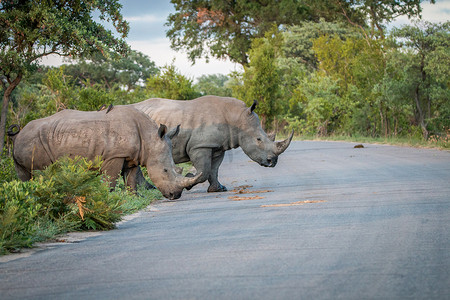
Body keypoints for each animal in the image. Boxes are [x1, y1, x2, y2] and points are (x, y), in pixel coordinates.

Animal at [7, 105, 201, 199]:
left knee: (26, 177)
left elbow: (130, 180)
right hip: (34, 141)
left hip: (31, 142)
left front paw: (134, 197)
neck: (149, 138)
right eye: (166, 171)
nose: (175, 196)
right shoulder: (114, 156)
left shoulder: (131, 157)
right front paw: (108, 198)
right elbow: (111, 179)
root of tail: (18, 134)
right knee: (41, 173)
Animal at [130, 95, 294, 192]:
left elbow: (214, 169)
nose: (272, 162)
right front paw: (189, 179)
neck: (237, 119)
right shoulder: (200, 146)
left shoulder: (217, 146)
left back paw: (148, 189)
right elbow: (204, 170)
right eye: (259, 140)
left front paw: (218, 189)